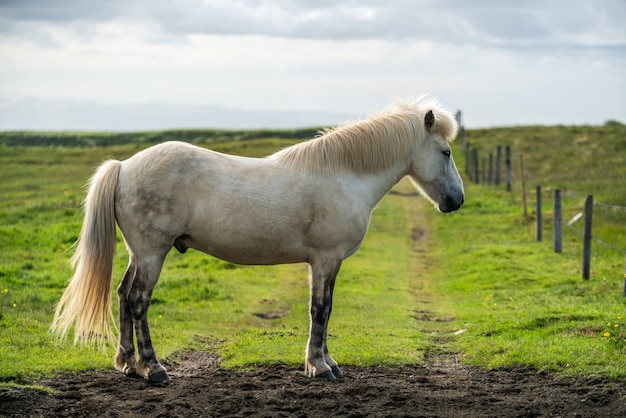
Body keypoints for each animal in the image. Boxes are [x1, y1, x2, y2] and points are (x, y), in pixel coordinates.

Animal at [51, 97, 464, 382]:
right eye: (445, 152)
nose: (456, 201)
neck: (343, 175)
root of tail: (123, 167)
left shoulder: (326, 264)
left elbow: (325, 309)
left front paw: (327, 362)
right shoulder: (326, 259)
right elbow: (321, 310)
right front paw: (319, 366)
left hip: (139, 254)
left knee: (123, 295)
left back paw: (128, 364)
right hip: (153, 253)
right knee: (138, 300)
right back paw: (153, 368)